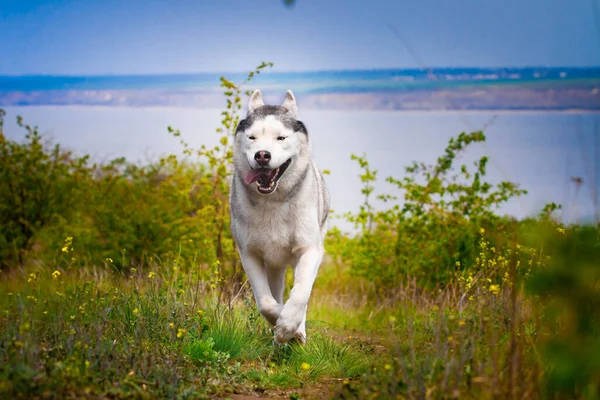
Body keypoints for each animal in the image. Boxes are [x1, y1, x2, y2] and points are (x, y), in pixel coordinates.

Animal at [230, 90, 330, 344]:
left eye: (281, 138)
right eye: (252, 137)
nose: (262, 155)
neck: (273, 201)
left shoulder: (309, 249)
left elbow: (300, 294)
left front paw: (290, 327)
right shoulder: (249, 254)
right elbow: (266, 303)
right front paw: (280, 322)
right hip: (274, 264)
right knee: (275, 291)